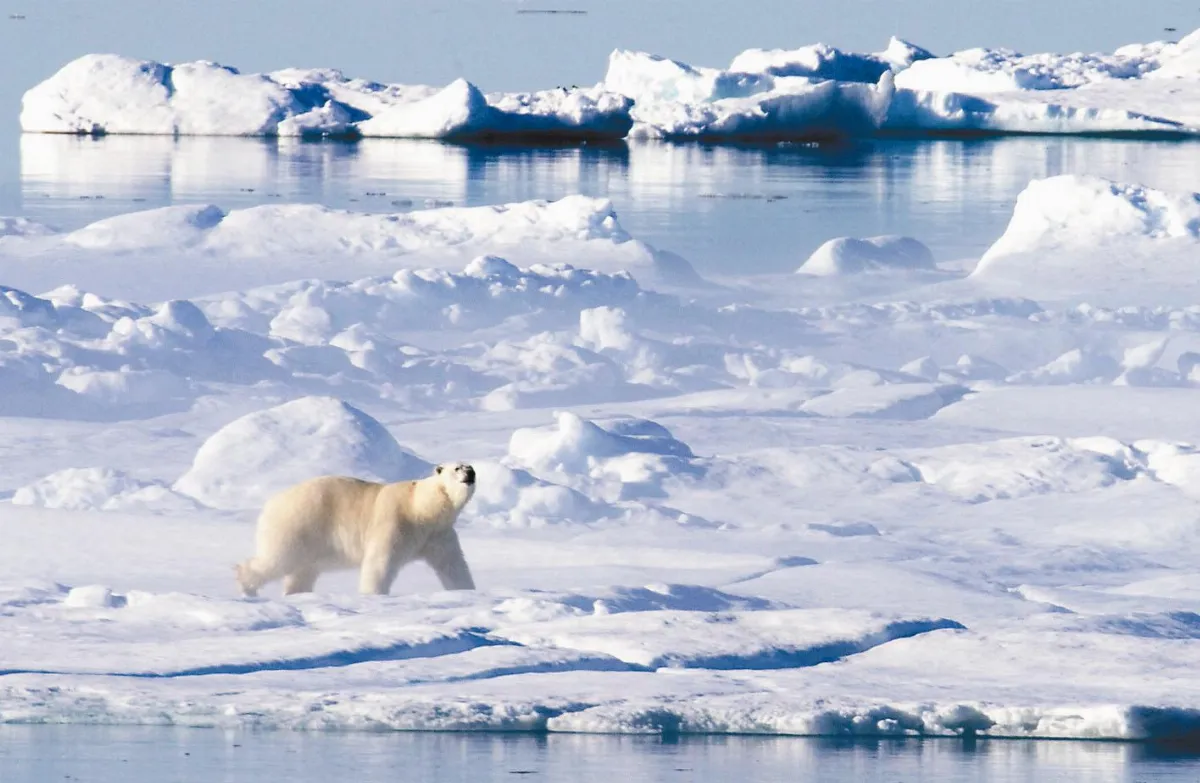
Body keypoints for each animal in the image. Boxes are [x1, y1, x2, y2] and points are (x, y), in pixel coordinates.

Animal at [235, 462, 477, 597]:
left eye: (471, 466)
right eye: (457, 468)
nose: (471, 473)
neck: (422, 508)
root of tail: (270, 503)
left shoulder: (439, 535)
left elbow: (453, 565)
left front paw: (467, 592)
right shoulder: (395, 523)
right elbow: (380, 562)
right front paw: (373, 594)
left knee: (302, 572)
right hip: (297, 525)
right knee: (278, 559)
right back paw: (247, 587)